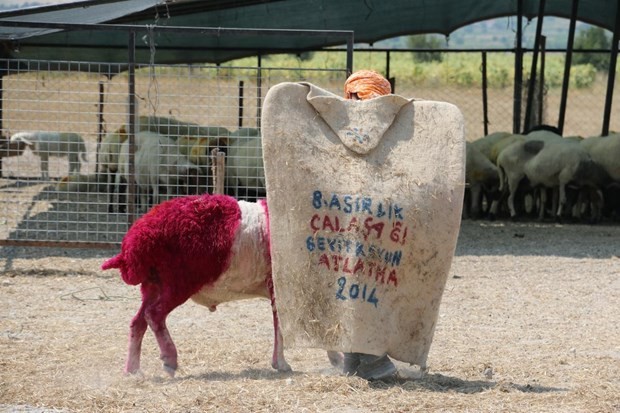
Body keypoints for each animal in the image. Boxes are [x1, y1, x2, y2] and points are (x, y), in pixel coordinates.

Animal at [102, 195, 294, 374]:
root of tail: (134, 244)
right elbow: (280, 324)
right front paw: (281, 364)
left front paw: (280, 363)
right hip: (177, 283)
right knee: (154, 314)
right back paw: (169, 360)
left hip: (154, 285)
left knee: (138, 321)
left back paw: (133, 370)